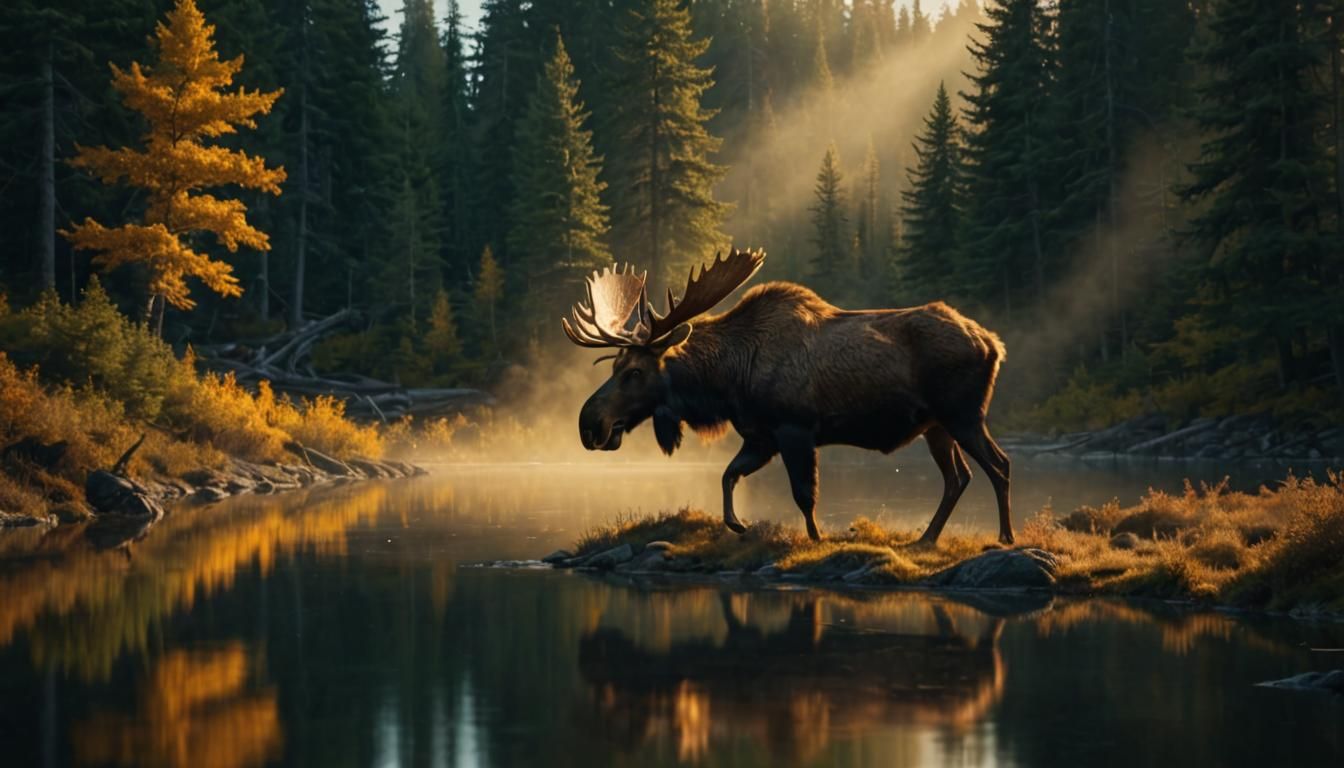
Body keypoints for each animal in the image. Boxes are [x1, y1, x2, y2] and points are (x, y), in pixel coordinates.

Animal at [563, 248, 1013, 544]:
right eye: (615, 367)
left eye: (635, 372)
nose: (589, 423)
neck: (727, 381)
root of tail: (994, 343)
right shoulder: (761, 436)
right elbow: (729, 475)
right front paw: (737, 524)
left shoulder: (795, 429)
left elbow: (804, 494)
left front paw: (816, 539)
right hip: (936, 426)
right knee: (958, 477)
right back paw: (926, 538)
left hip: (964, 416)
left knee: (998, 465)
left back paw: (1005, 536)